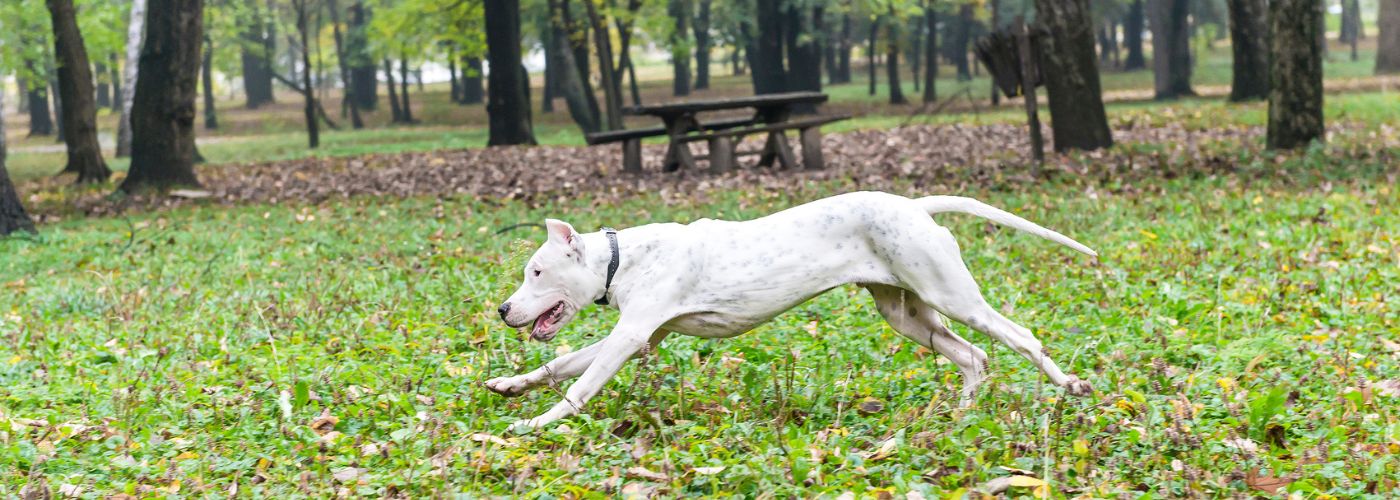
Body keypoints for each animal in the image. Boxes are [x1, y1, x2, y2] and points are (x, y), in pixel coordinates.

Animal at [487, 190, 1097, 428]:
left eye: (536, 272)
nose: (502, 309)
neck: (622, 258)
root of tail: (914, 205)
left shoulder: (629, 337)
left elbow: (578, 385)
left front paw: (535, 424)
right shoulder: (642, 338)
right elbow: (559, 364)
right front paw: (510, 386)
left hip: (952, 296)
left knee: (1019, 337)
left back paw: (1069, 385)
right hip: (907, 314)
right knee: (973, 357)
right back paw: (959, 416)